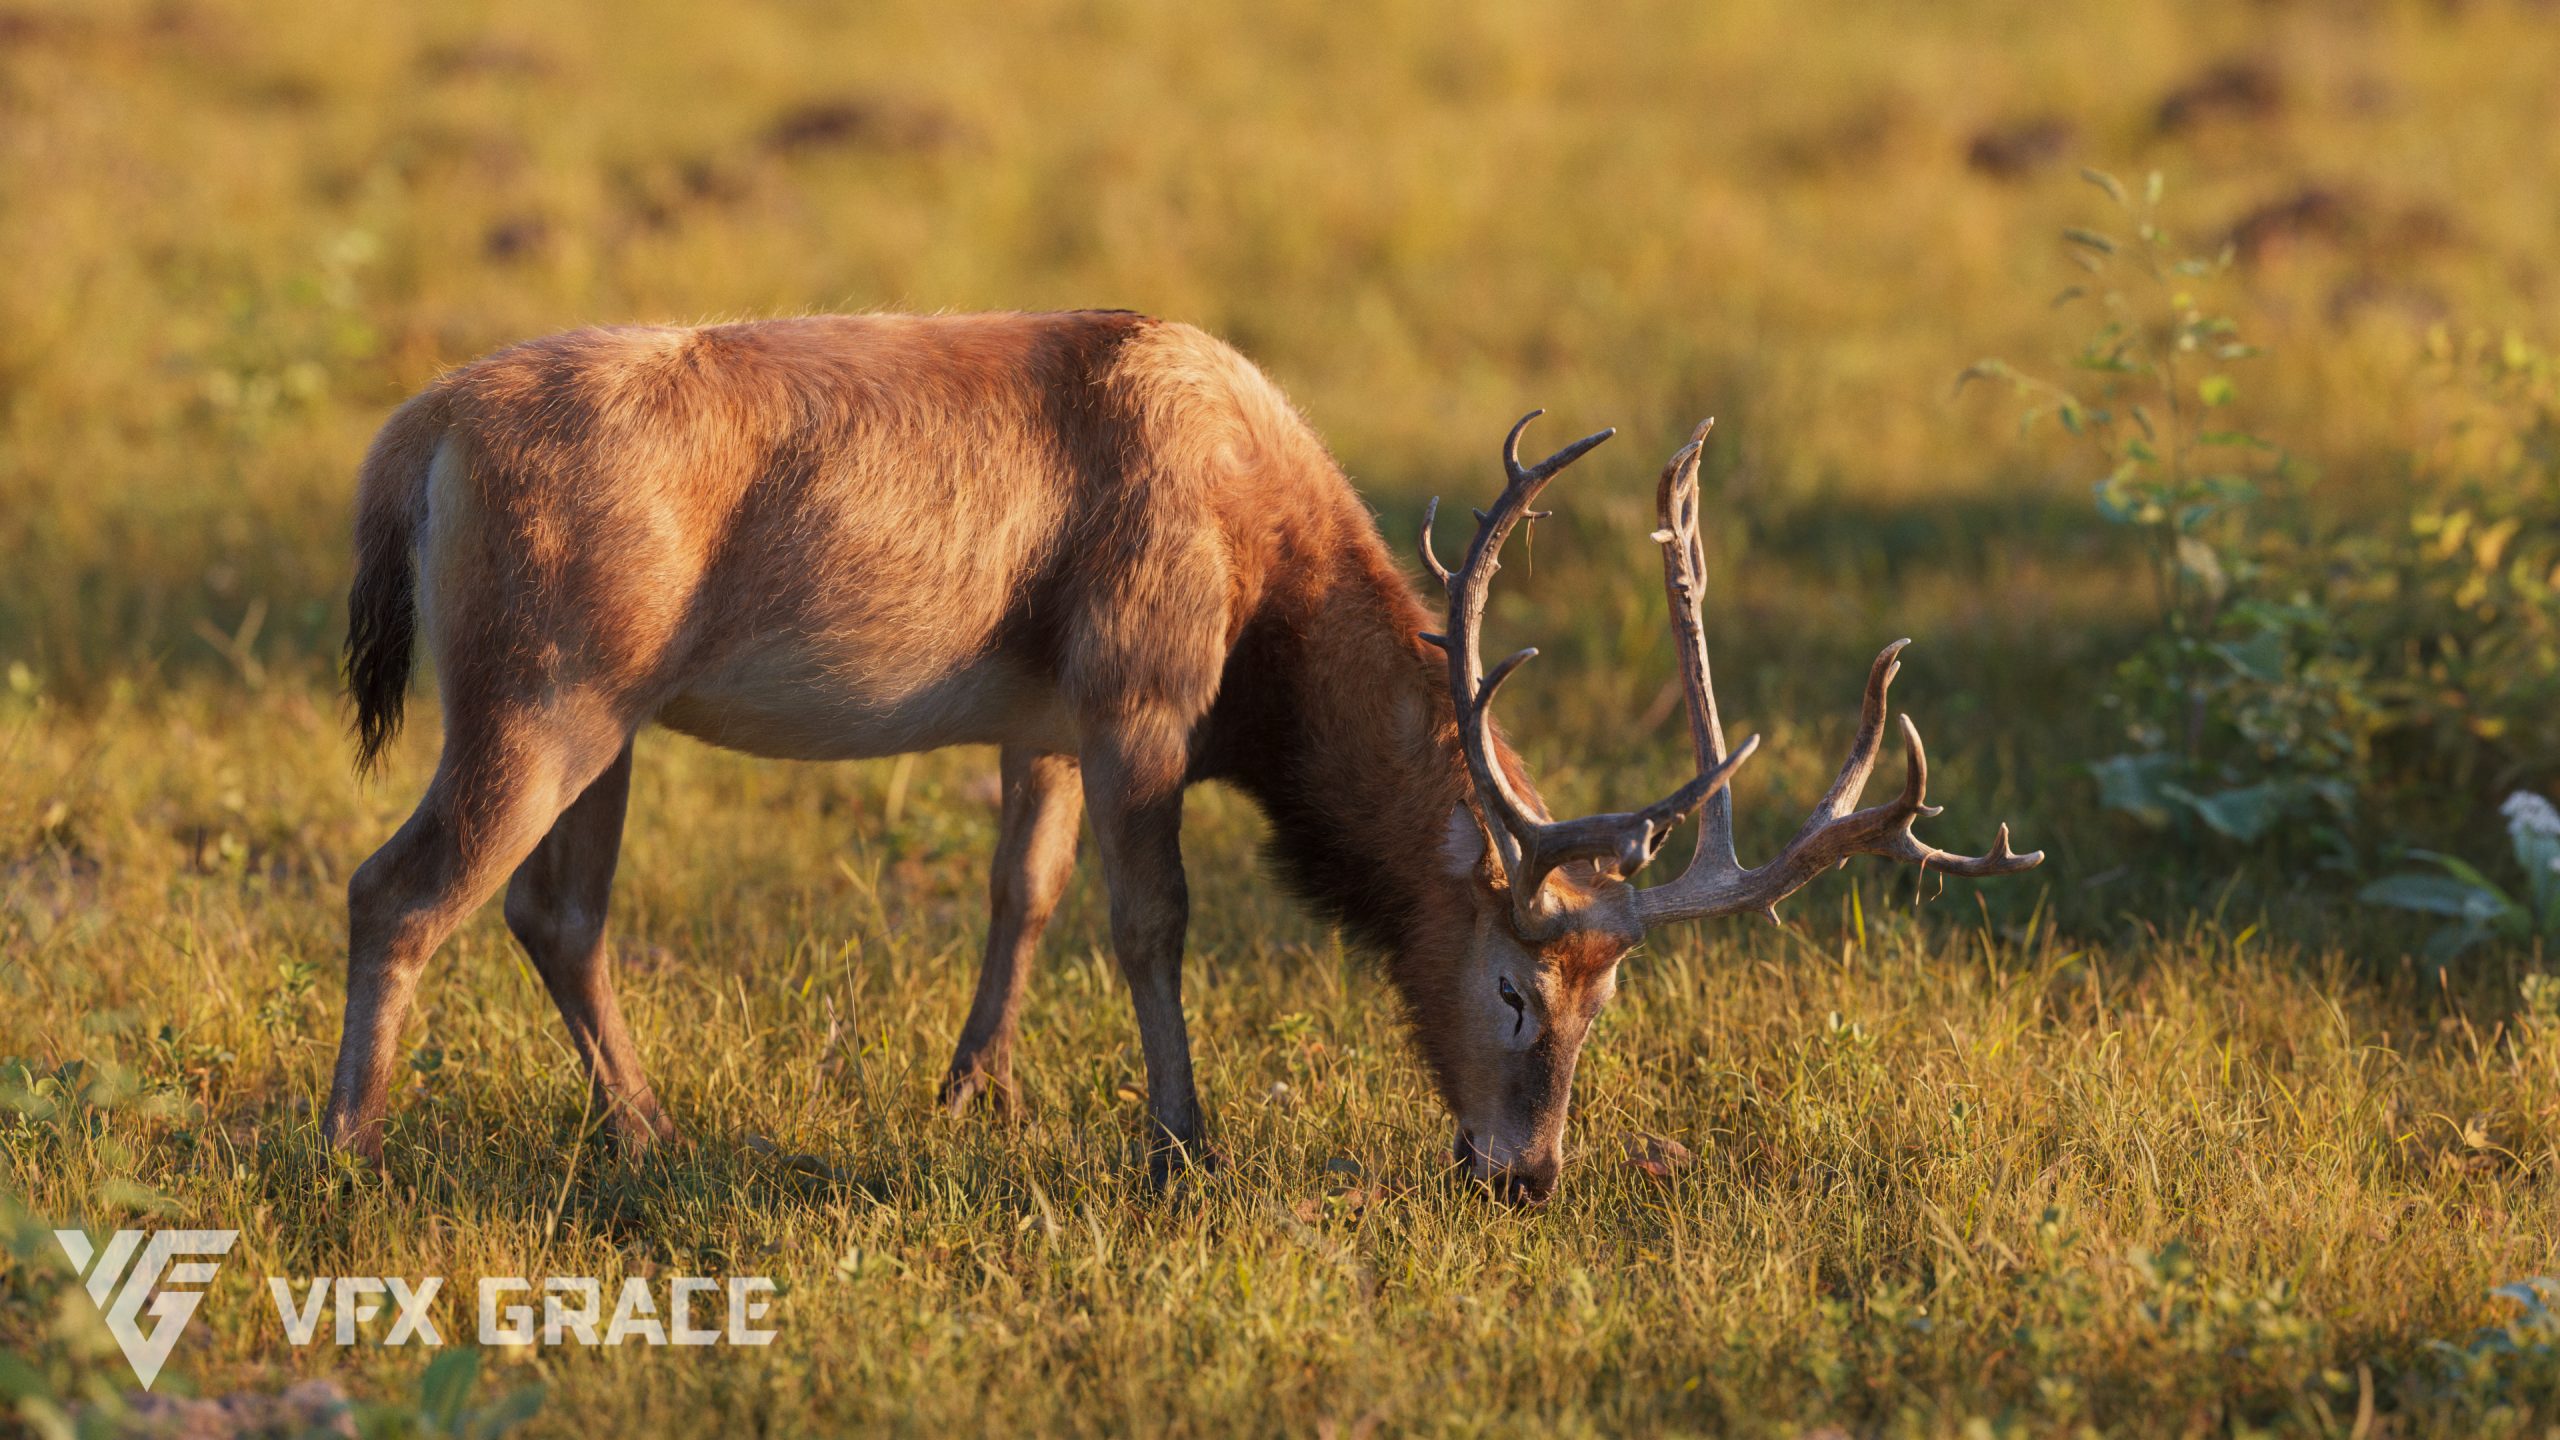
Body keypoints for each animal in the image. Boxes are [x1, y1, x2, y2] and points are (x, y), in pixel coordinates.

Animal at [326, 310, 2040, 1201]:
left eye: (1609, 1000)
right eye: (1514, 984)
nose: (1524, 1171)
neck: (1267, 614)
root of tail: (411, 444)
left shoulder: (1040, 720)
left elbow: (1019, 893)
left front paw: (972, 1096)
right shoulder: (1140, 689)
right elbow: (1152, 921)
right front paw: (1183, 1144)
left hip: (603, 710)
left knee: (556, 913)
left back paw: (650, 1133)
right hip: (542, 690)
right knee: (397, 890)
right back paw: (350, 1150)